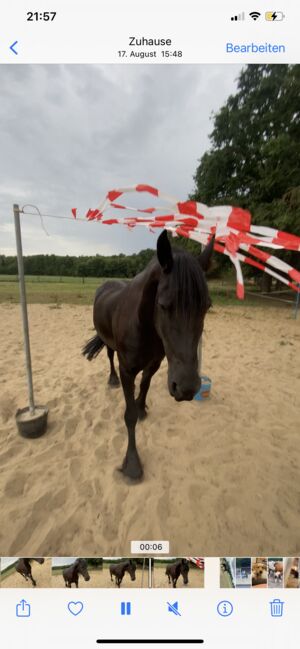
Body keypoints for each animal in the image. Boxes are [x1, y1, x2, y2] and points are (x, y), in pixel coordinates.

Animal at [82, 230, 213, 478]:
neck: (144, 326)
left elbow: (144, 386)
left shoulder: (154, 363)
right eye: (163, 305)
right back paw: (111, 380)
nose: (187, 388)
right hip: (110, 345)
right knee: (110, 357)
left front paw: (141, 408)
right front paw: (132, 463)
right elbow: (129, 416)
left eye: (207, 306)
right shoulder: (127, 370)